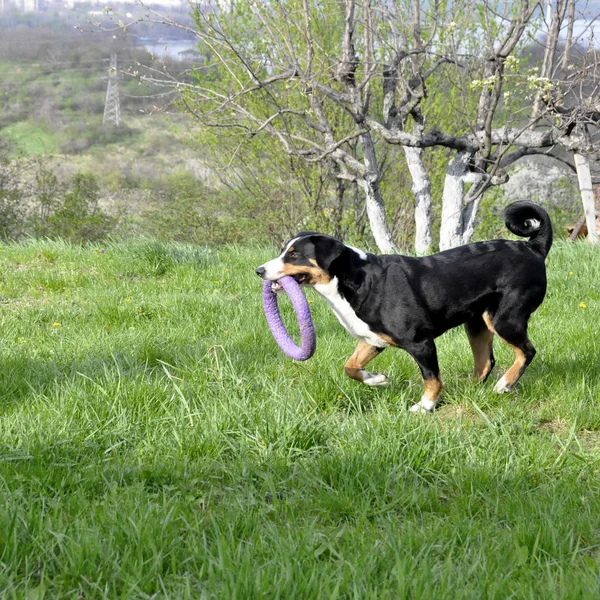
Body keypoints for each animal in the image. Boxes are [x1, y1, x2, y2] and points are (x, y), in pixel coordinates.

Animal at [254, 202, 552, 412]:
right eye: (283, 251)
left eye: (294, 255)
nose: (259, 270)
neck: (358, 280)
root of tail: (532, 247)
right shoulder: (372, 340)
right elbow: (350, 367)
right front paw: (377, 379)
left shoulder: (421, 343)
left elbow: (432, 379)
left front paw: (425, 406)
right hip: (476, 323)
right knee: (485, 362)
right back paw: (472, 391)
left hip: (504, 318)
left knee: (526, 351)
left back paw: (505, 384)